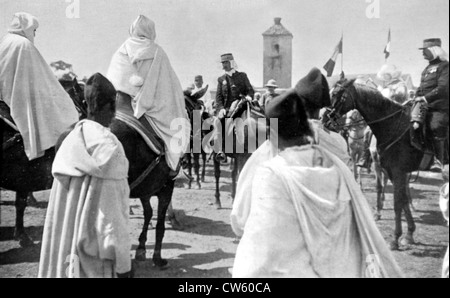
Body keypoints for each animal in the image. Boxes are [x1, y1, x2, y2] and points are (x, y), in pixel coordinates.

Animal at [328, 78, 424, 249]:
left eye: (337, 94)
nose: (326, 118)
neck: (392, 125)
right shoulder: (384, 166)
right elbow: (396, 195)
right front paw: (409, 233)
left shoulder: (397, 170)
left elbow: (398, 201)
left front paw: (395, 238)